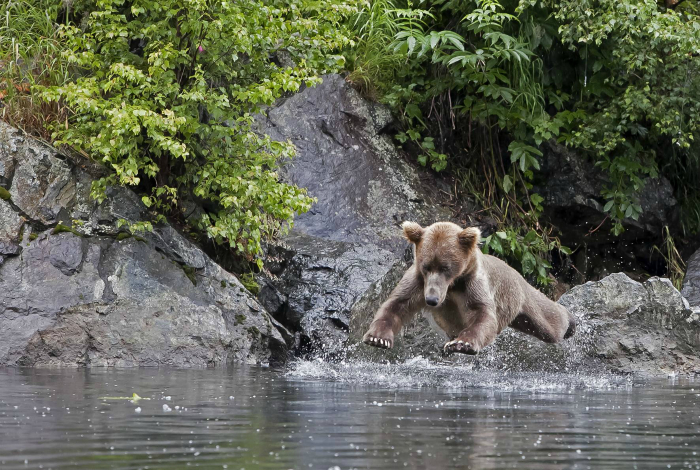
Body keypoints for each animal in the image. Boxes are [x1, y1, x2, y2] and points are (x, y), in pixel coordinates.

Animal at [364, 222, 576, 354]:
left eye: (445, 267)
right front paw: (378, 338)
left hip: (521, 296)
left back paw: (571, 322)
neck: (452, 286)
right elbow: (397, 304)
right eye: (426, 266)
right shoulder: (418, 282)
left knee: (550, 323)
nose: (431, 300)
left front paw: (461, 344)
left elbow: (483, 314)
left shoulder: (473, 283)